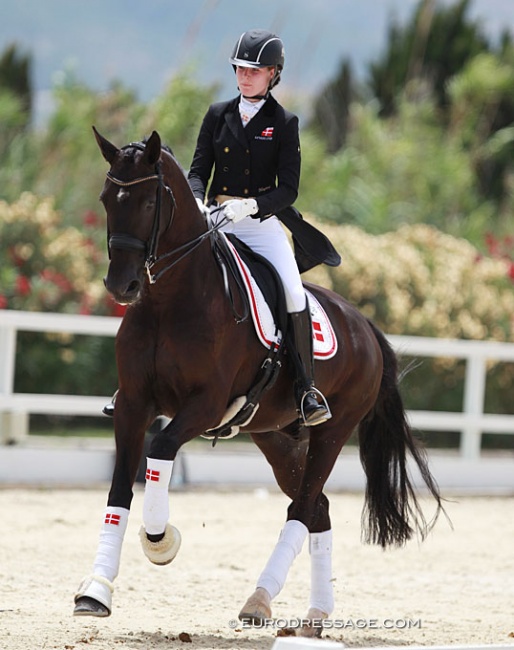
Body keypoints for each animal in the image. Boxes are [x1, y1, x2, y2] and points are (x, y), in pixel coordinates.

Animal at [72, 126, 440, 632]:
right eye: (107, 199)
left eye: (148, 202)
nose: (121, 286)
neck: (171, 300)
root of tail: (364, 325)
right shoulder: (132, 403)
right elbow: (118, 490)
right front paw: (95, 591)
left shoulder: (205, 403)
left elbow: (159, 449)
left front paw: (161, 541)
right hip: (276, 436)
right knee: (317, 507)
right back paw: (311, 613)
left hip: (333, 429)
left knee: (303, 507)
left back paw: (261, 600)